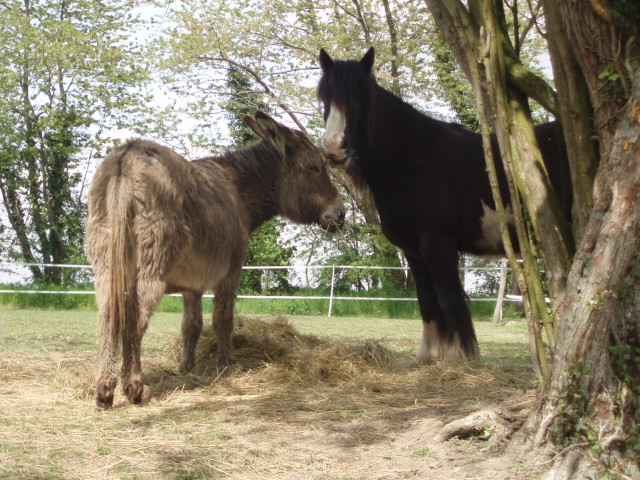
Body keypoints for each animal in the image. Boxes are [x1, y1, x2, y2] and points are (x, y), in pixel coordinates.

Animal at [318, 48, 572, 362]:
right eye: (325, 98)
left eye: (359, 97)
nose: (333, 148)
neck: (411, 160)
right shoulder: (413, 250)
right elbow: (428, 302)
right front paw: (428, 356)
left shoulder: (437, 244)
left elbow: (450, 300)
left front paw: (459, 358)